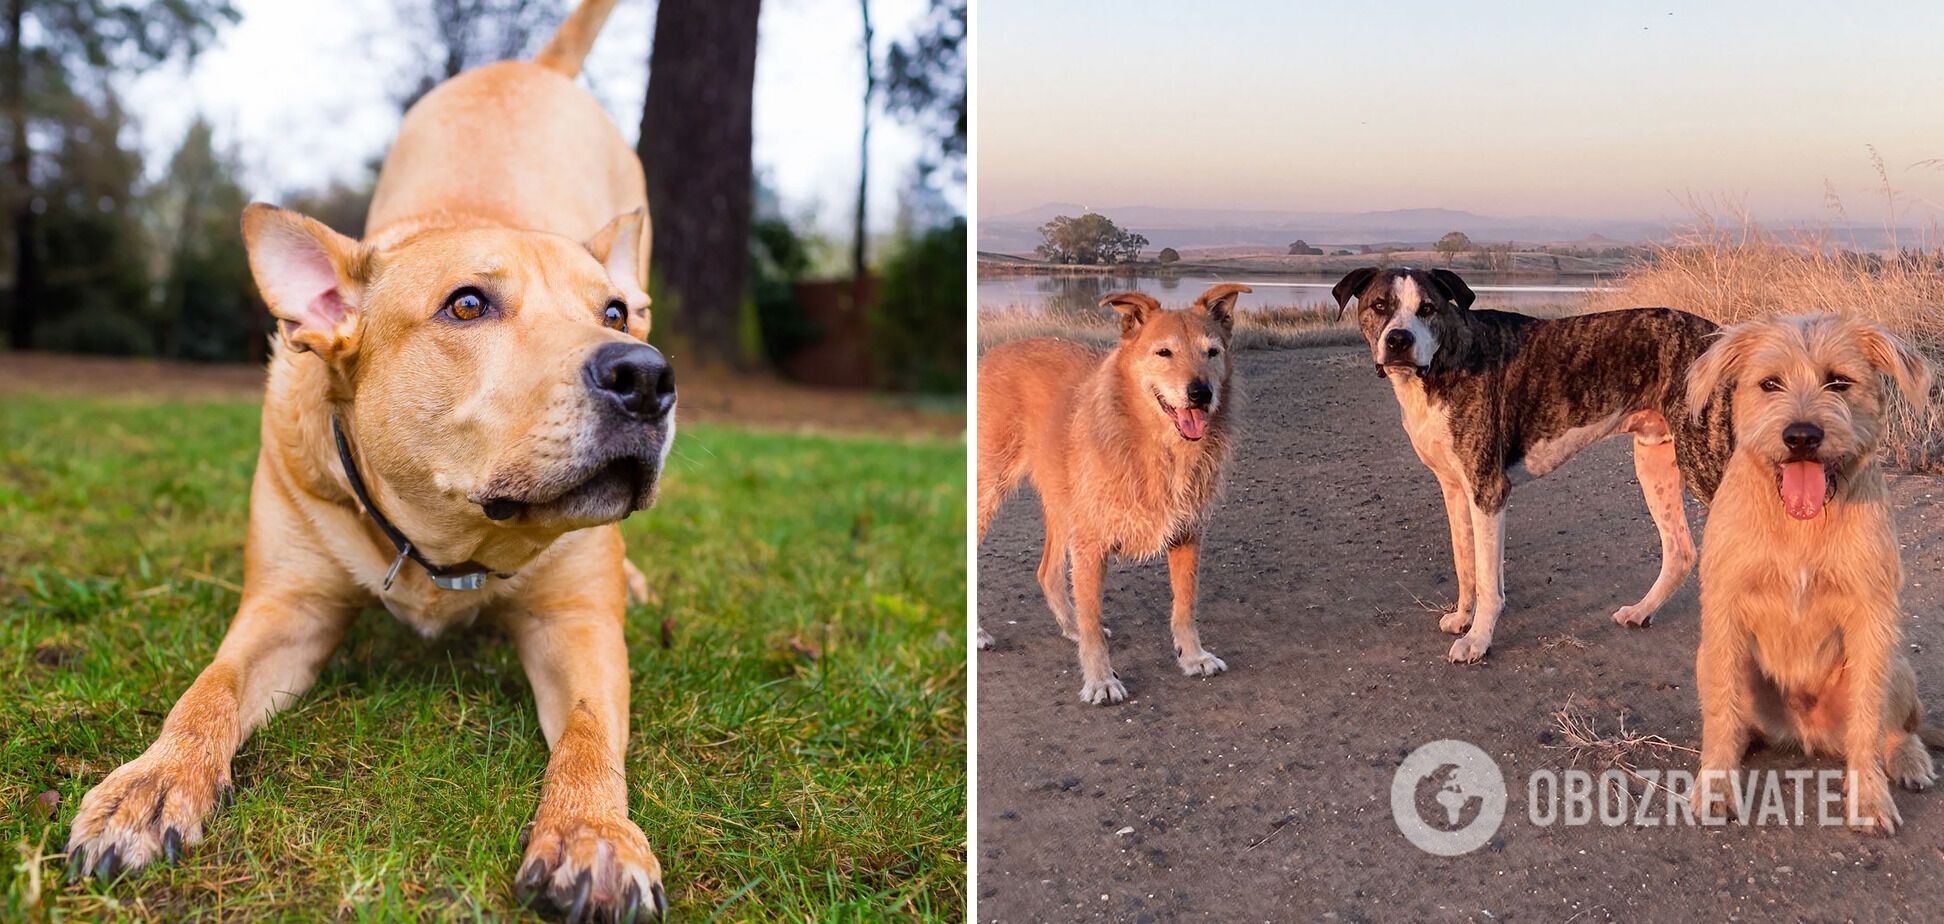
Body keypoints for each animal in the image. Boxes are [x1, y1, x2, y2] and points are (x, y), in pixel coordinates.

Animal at [66, 3, 676, 922]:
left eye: (613, 313)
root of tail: (533, 69)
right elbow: (208, 691)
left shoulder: (577, 626)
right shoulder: (287, 608)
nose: (644, 375)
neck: (448, 539)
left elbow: (588, 735)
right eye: (468, 305)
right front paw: (153, 781)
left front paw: (592, 832)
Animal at [972, 285, 1244, 704]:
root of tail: (992, 354)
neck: (1154, 445)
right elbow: (1093, 616)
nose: (1201, 393)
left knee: (1047, 572)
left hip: (1063, 502)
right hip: (990, 491)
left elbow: (1185, 604)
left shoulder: (1188, 535)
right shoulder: (1091, 544)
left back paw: (1070, 627)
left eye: (1212, 351)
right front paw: (1100, 679)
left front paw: (1193, 656)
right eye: (1164, 352)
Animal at [1337, 268, 1734, 665]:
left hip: (1707, 466)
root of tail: (1725, 338)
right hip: (1655, 464)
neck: (1445, 360)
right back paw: (1640, 611)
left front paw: (1477, 640)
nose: (1398, 340)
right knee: (1681, 551)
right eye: (1380, 305)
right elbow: (1465, 563)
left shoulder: (1488, 491)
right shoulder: (1455, 491)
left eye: (1427, 308)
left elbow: (1486, 579)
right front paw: (1464, 618)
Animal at [1687, 315, 1944, 836]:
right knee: (1733, 716)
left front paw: (1869, 798)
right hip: (1709, 659)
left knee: (1898, 728)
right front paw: (1717, 785)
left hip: (1896, 664)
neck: (1800, 525)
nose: (1801, 436)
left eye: (1839, 382)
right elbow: (1722, 710)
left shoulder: (1872, 617)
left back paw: (1908, 759)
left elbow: (1868, 719)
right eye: (1770, 384)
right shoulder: (1724, 610)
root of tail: (1804, 730)